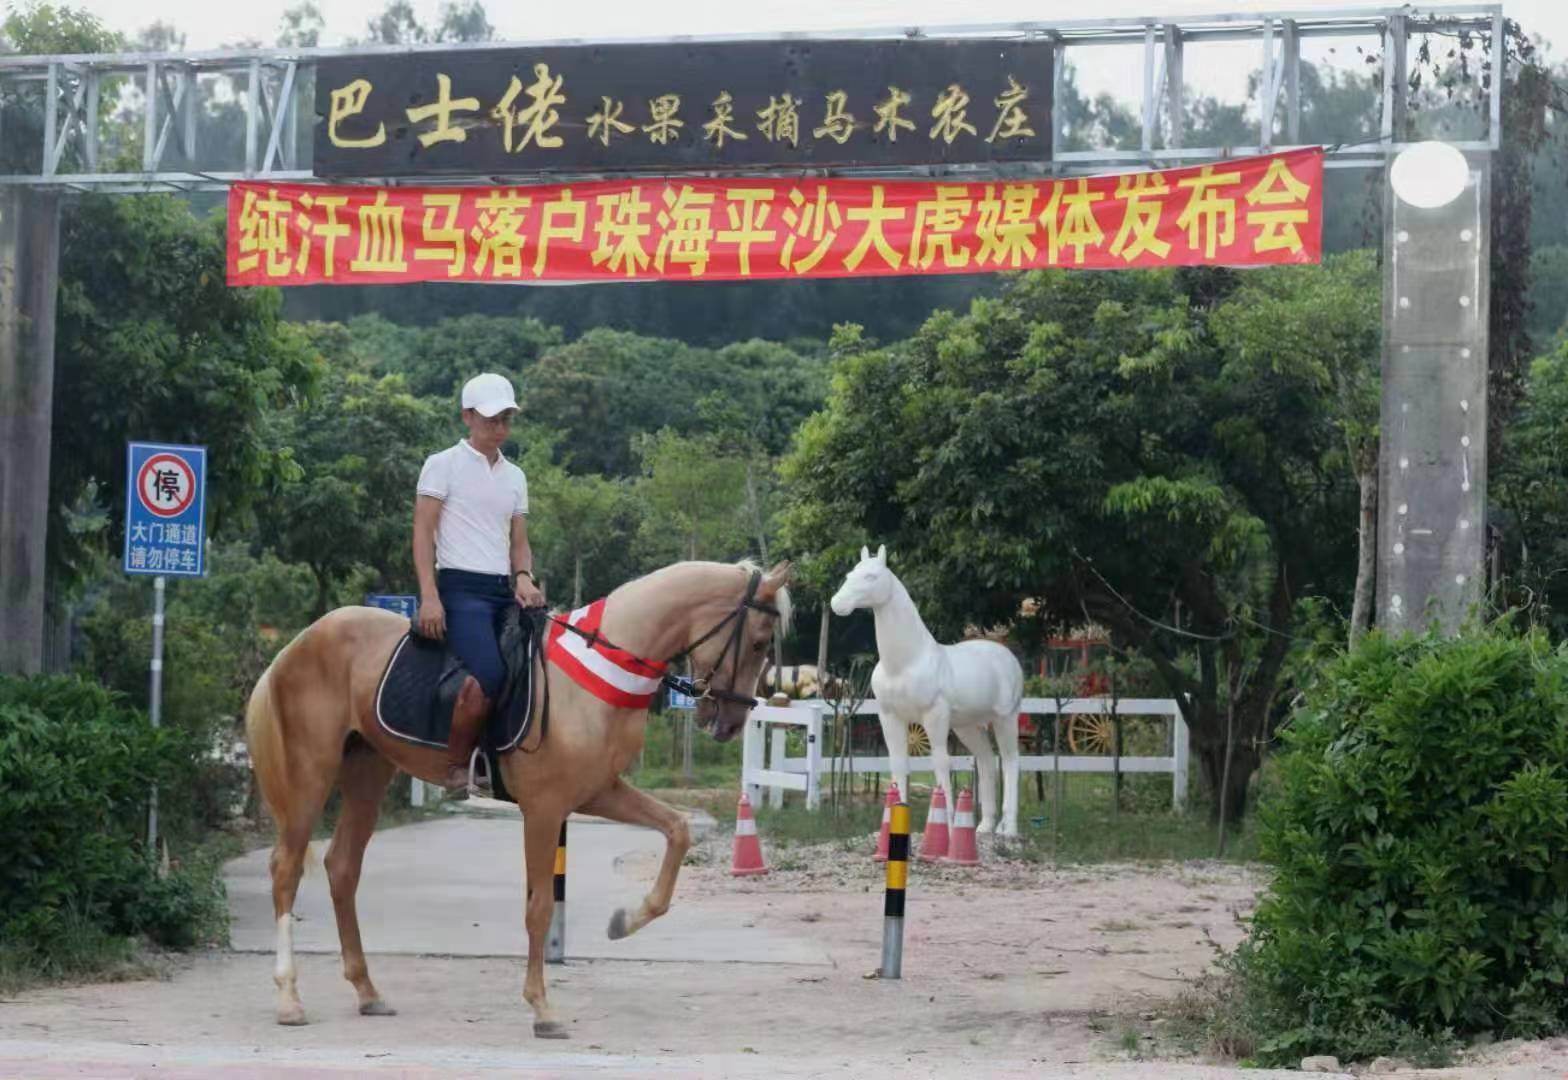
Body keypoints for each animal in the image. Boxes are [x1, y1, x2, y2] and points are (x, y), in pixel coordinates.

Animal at [249, 561, 790, 1034]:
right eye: (759, 641)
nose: (731, 722)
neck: (600, 673)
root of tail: (300, 640)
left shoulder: (598, 792)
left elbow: (676, 829)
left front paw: (624, 922)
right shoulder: (545, 809)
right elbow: (539, 908)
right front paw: (542, 1009)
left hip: (368, 771)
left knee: (342, 867)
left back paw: (367, 992)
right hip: (311, 773)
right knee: (287, 870)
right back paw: (289, 999)